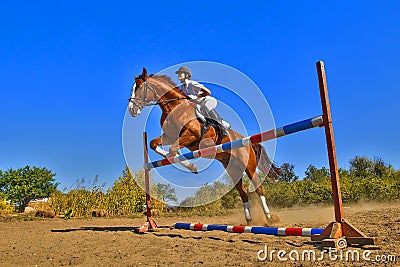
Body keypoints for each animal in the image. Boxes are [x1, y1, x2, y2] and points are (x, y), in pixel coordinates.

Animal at [129, 68, 282, 223]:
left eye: (139, 88)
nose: (131, 110)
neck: (173, 107)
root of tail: (247, 141)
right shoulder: (169, 137)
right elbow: (155, 145)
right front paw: (187, 164)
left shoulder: (191, 135)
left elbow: (172, 150)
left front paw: (191, 166)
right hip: (232, 168)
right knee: (243, 191)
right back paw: (249, 220)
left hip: (248, 164)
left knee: (258, 187)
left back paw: (269, 217)